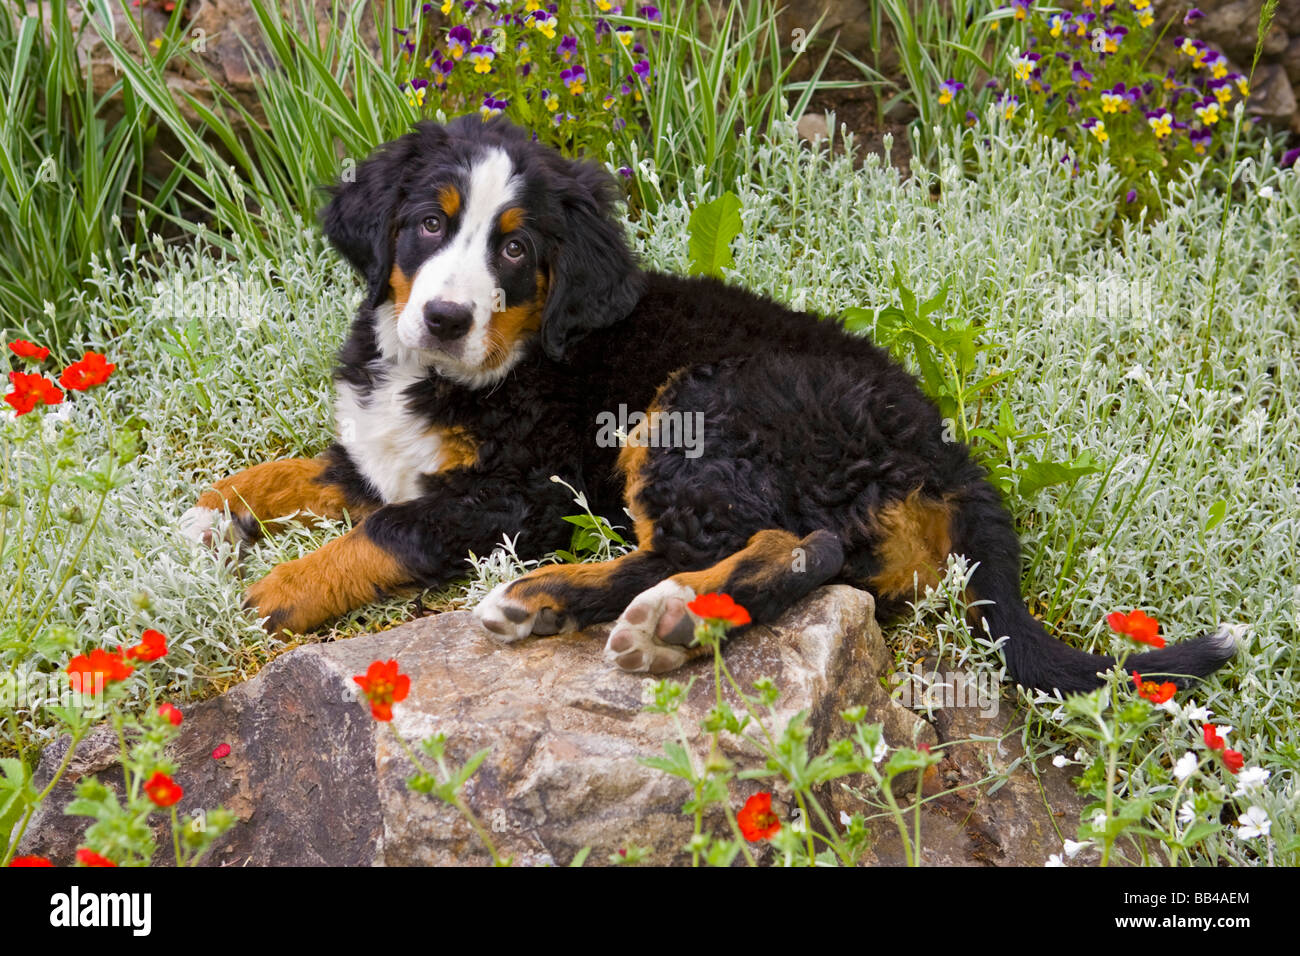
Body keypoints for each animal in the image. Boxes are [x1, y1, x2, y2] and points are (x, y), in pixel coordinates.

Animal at [178, 115, 1232, 697]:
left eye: (515, 249)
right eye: (428, 225)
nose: (443, 317)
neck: (464, 370)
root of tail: (938, 446)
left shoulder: (519, 490)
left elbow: (388, 530)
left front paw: (277, 589)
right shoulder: (377, 452)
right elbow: (301, 469)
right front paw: (212, 514)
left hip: (700, 408)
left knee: (766, 544)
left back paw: (604, 610)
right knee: (804, 555)